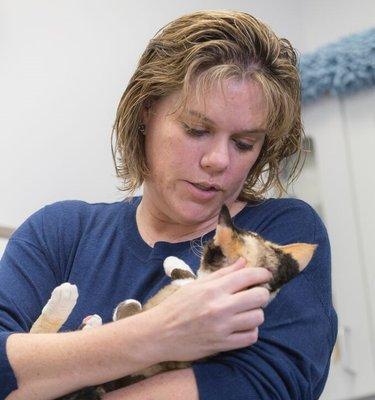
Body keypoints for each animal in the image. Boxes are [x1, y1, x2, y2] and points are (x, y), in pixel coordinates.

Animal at [32, 205, 318, 398]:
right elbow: (186, 275)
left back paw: (75, 307)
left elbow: (133, 310)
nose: (203, 243)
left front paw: (123, 307)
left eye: (210, 246)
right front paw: (175, 262)